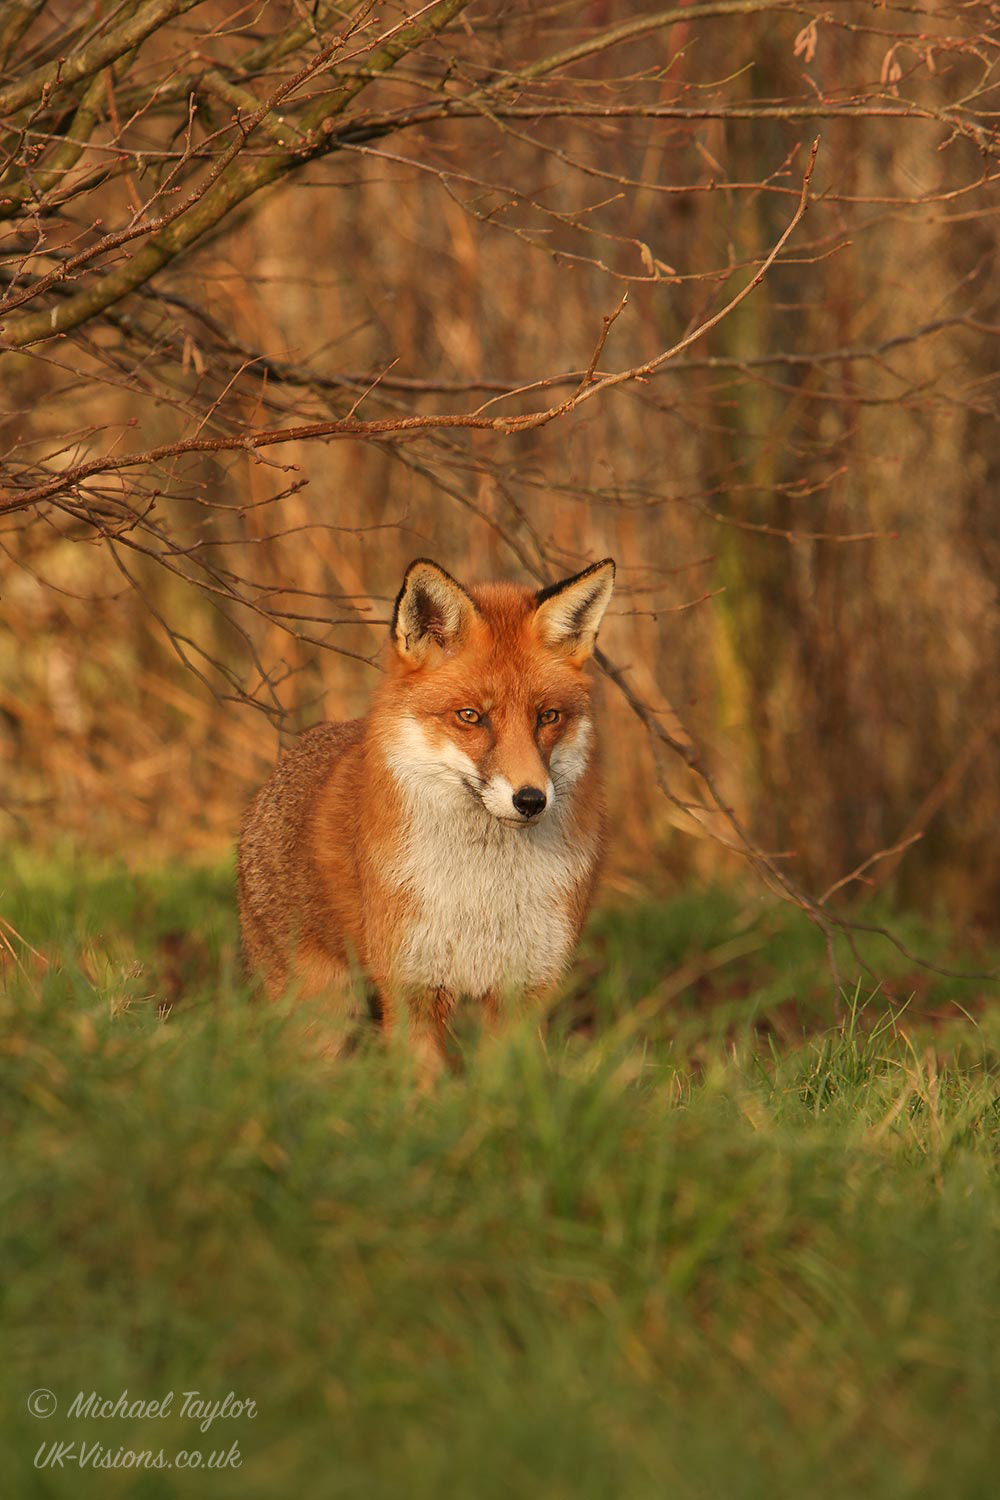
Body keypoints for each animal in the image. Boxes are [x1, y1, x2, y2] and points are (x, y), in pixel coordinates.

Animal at [237, 555, 615, 1076]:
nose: (531, 799)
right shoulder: (411, 987)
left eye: (548, 717)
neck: (483, 892)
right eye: (471, 716)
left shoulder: (524, 987)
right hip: (322, 1017)